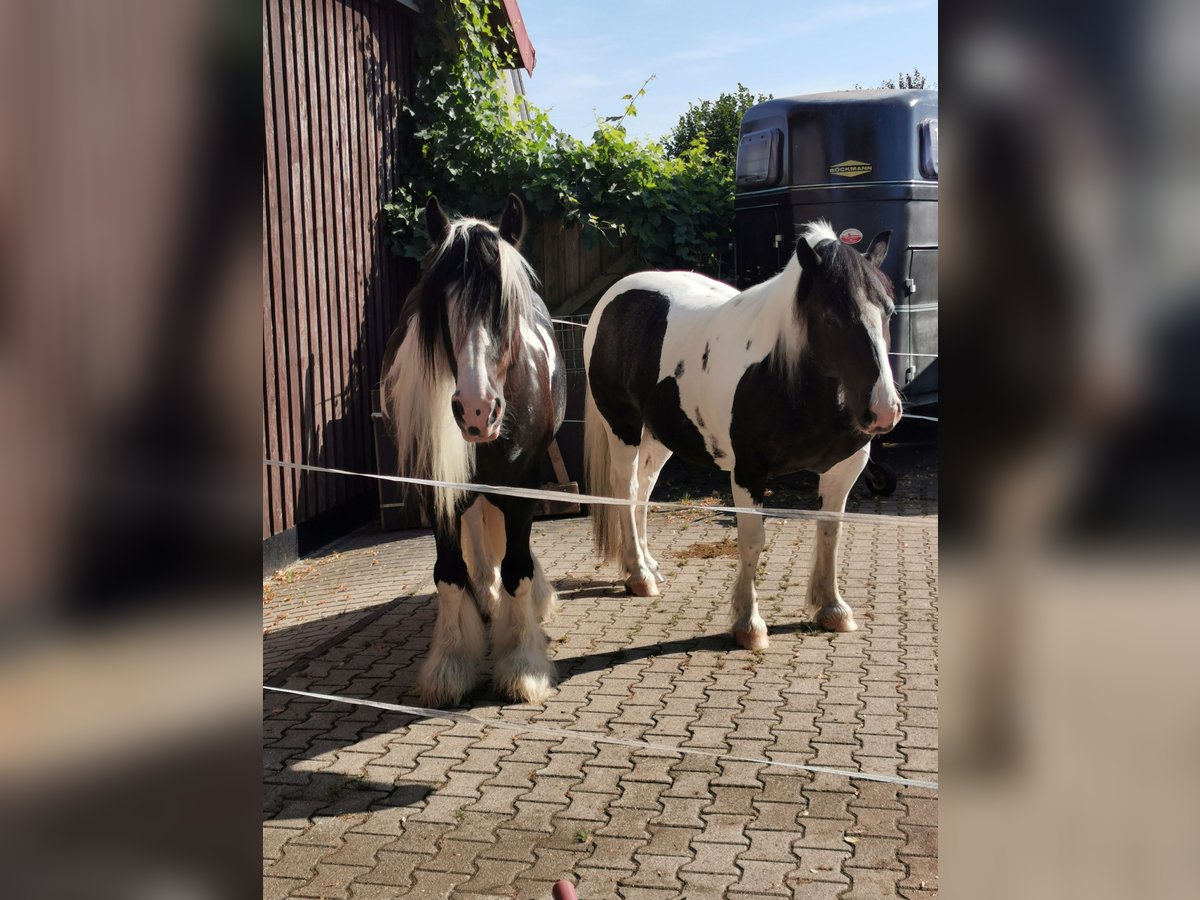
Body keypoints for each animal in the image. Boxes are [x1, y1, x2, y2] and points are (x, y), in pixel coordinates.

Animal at [381, 194, 564, 710]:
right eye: (442, 306)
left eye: (505, 307)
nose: (477, 410)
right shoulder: (436, 490)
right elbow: (448, 572)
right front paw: (450, 665)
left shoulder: (522, 489)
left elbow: (518, 569)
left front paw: (522, 665)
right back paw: (483, 593)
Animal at [580, 224, 902, 648]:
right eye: (832, 317)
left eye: (889, 311)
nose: (884, 410)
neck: (788, 375)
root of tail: (613, 297)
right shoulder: (749, 473)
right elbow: (752, 541)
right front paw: (749, 624)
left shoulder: (844, 469)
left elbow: (830, 532)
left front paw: (832, 608)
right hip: (623, 428)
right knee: (625, 490)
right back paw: (638, 576)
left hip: (660, 437)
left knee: (643, 490)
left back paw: (649, 563)